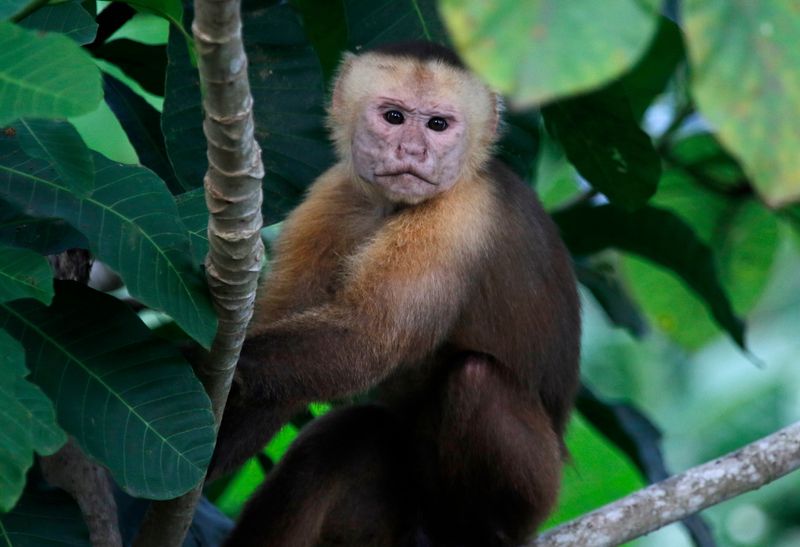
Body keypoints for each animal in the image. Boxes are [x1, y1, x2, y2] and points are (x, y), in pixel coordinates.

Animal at [216, 40, 580, 544]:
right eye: (393, 117)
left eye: (438, 125)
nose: (412, 149)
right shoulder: (332, 196)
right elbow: (278, 387)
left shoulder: (459, 217)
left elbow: (370, 338)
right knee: (350, 436)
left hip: (537, 496)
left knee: (475, 377)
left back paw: (477, 533)